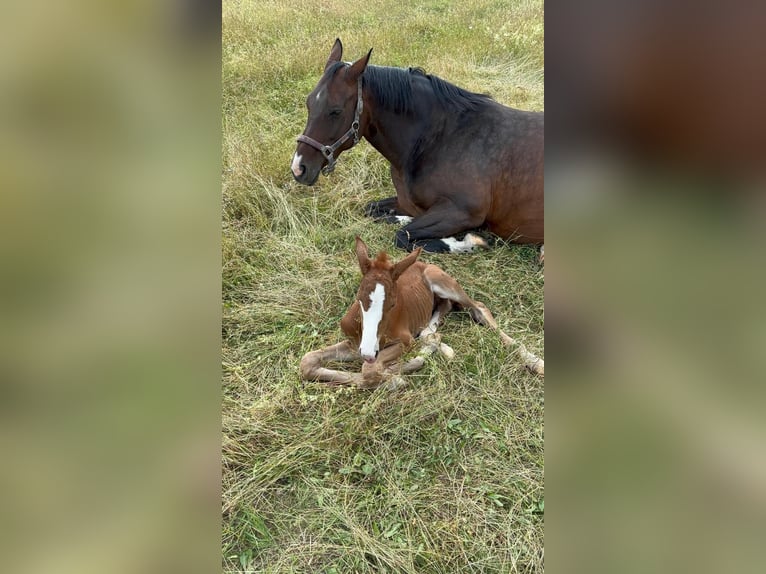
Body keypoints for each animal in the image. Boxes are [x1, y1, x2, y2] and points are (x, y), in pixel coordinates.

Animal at [291, 38, 544, 254]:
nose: (299, 168)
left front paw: (469, 241)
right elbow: (374, 210)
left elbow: (402, 235)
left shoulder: (462, 211)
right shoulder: (407, 202)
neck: (440, 139)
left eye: (335, 111)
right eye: (309, 103)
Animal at [299, 237, 544, 389]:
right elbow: (307, 361)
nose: (368, 352)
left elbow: (370, 370)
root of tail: (423, 263)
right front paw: (394, 375)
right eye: (359, 298)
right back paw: (436, 344)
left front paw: (394, 379)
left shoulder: (403, 342)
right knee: (437, 321)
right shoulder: (354, 343)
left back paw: (535, 361)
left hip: (443, 282)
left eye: (393, 304)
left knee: (478, 307)